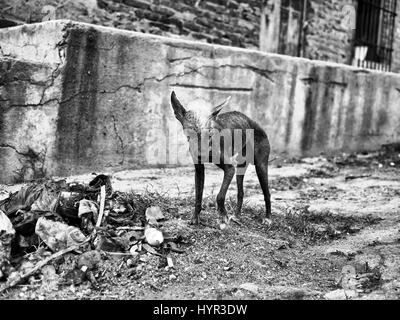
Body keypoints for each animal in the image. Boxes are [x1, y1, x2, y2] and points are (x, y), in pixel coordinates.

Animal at [170, 91, 272, 228]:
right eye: (189, 135)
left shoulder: (229, 169)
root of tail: (252, 121)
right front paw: (195, 218)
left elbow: (220, 196)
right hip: (240, 168)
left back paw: (268, 218)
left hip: (261, 166)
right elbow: (198, 197)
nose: (201, 155)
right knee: (241, 192)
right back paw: (237, 216)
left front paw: (223, 216)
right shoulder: (199, 170)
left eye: (209, 133)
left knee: (267, 193)